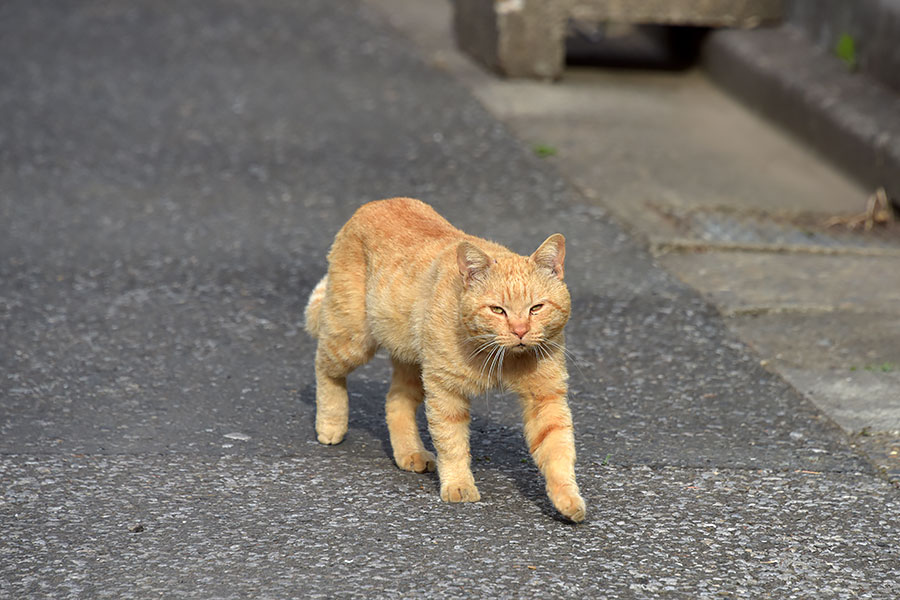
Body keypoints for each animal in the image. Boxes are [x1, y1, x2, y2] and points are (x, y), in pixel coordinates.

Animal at [306, 197, 588, 520]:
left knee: (396, 400)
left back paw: (410, 452)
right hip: (352, 339)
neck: (504, 358)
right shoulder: (446, 391)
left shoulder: (546, 396)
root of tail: (376, 202)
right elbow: (451, 443)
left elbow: (558, 449)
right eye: (497, 310)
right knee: (323, 366)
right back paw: (330, 425)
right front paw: (459, 485)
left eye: (536, 308)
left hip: (413, 365)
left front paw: (567, 499)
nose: (520, 331)